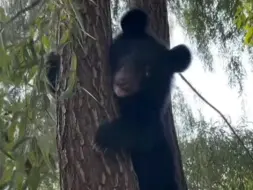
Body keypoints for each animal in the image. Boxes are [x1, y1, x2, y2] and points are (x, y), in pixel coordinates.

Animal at [95, 8, 192, 190]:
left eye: (148, 71)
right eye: (126, 55)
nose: (123, 83)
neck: (129, 99)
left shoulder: (152, 115)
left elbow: (144, 131)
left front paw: (103, 137)